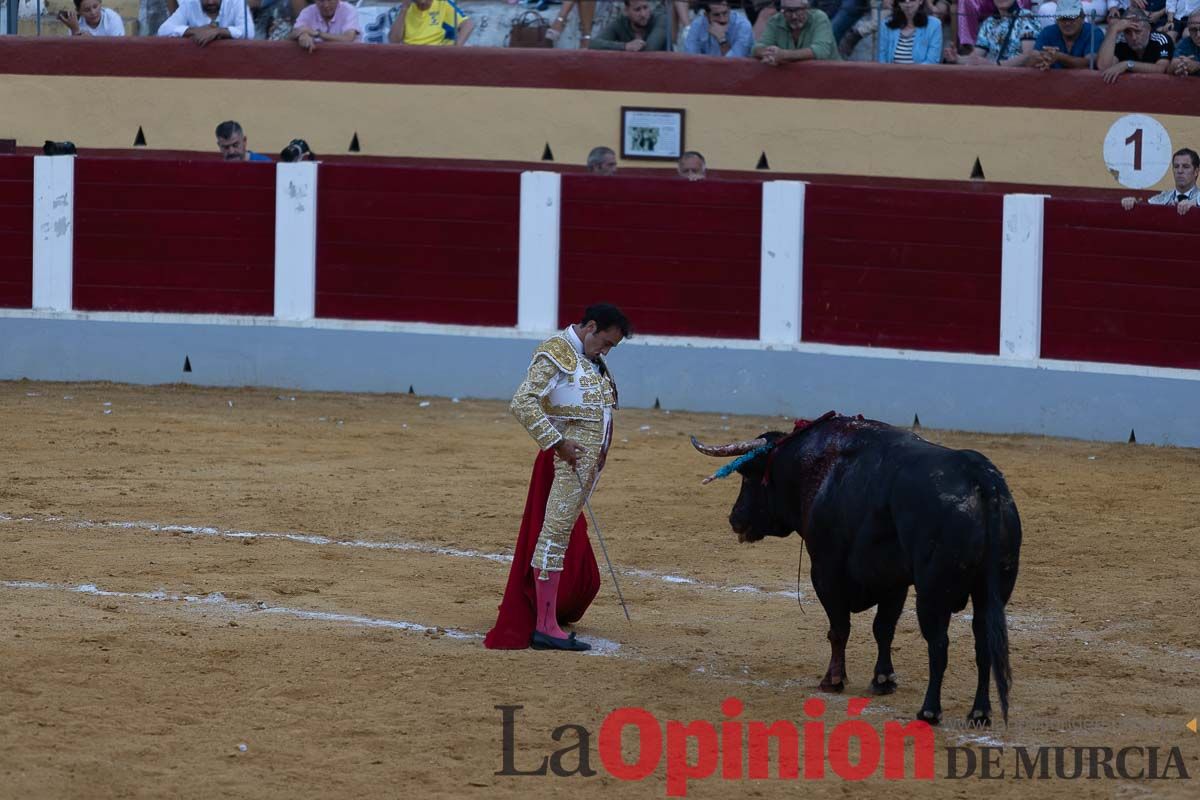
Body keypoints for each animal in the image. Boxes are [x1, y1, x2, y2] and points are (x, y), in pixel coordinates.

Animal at [696, 412, 1022, 724]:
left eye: (748, 477)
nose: (735, 518)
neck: (815, 467)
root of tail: (981, 477)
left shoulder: (826, 572)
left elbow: (839, 629)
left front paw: (833, 680)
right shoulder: (894, 582)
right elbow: (883, 628)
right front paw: (883, 680)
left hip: (933, 593)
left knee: (939, 645)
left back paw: (929, 712)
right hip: (991, 592)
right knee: (984, 643)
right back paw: (979, 713)